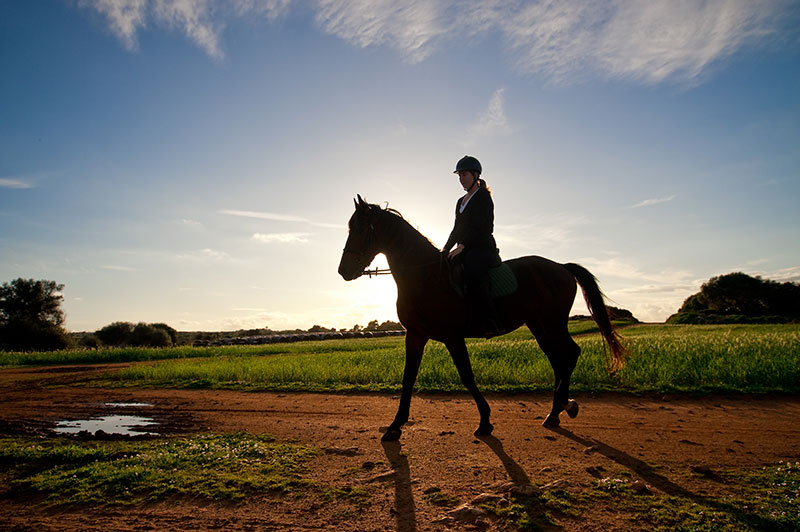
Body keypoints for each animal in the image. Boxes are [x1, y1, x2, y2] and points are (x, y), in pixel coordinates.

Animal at [338, 195, 624, 440]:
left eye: (361, 229)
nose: (343, 271)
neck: (426, 276)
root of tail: (562, 267)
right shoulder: (416, 335)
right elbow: (408, 377)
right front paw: (395, 426)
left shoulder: (452, 336)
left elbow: (466, 375)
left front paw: (485, 421)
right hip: (539, 325)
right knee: (557, 360)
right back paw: (554, 412)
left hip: (553, 323)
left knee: (570, 354)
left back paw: (566, 404)